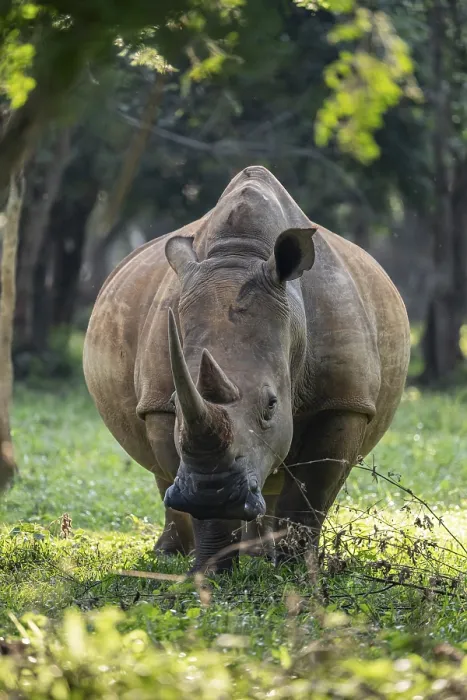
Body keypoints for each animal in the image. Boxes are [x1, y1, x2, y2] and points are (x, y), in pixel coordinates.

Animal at [83, 165, 410, 572]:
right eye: (175, 401)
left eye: (271, 404)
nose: (212, 493)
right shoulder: (158, 402)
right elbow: (185, 476)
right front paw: (210, 570)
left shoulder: (344, 402)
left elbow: (309, 496)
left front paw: (294, 571)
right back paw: (172, 554)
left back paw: (261, 556)